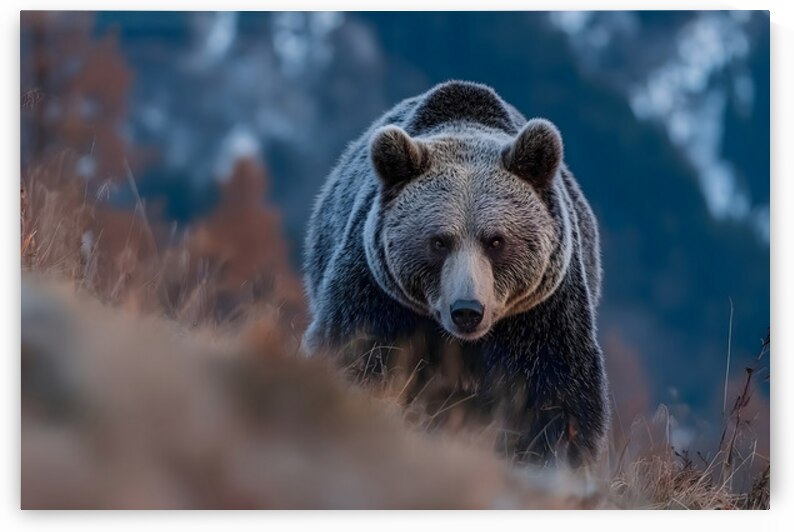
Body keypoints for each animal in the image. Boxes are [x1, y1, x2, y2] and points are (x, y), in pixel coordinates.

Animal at [303, 80, 609, 467]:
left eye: (496, 240)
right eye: (439, 241)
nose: (467, 310)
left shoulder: (542, 314)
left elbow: (555, 396)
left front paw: (551, 454)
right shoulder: (377, 293)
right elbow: (357, 354)